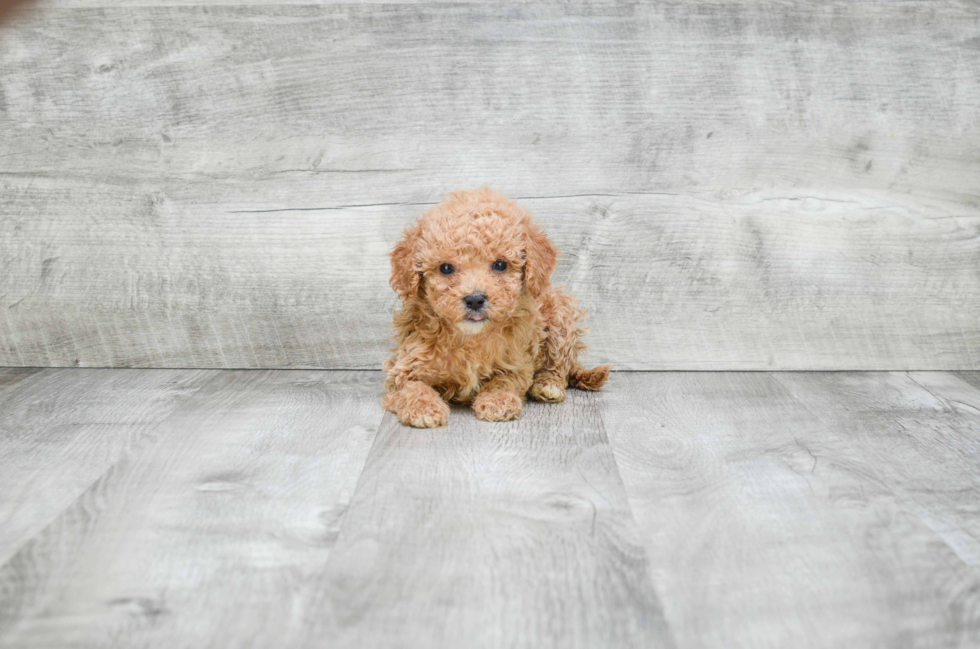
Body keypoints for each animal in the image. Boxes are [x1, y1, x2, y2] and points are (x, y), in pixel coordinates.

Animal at [380, 185, 604, 428]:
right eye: (446, 268)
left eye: (500, 264)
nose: (475, 299)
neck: (471, 338)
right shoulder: (405, 367)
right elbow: (412, 387)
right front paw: (425, 408)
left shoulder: (517, 362)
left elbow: (504, 380)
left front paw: (498, 401)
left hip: (560, 314)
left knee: (559, 363)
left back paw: (547, 385)